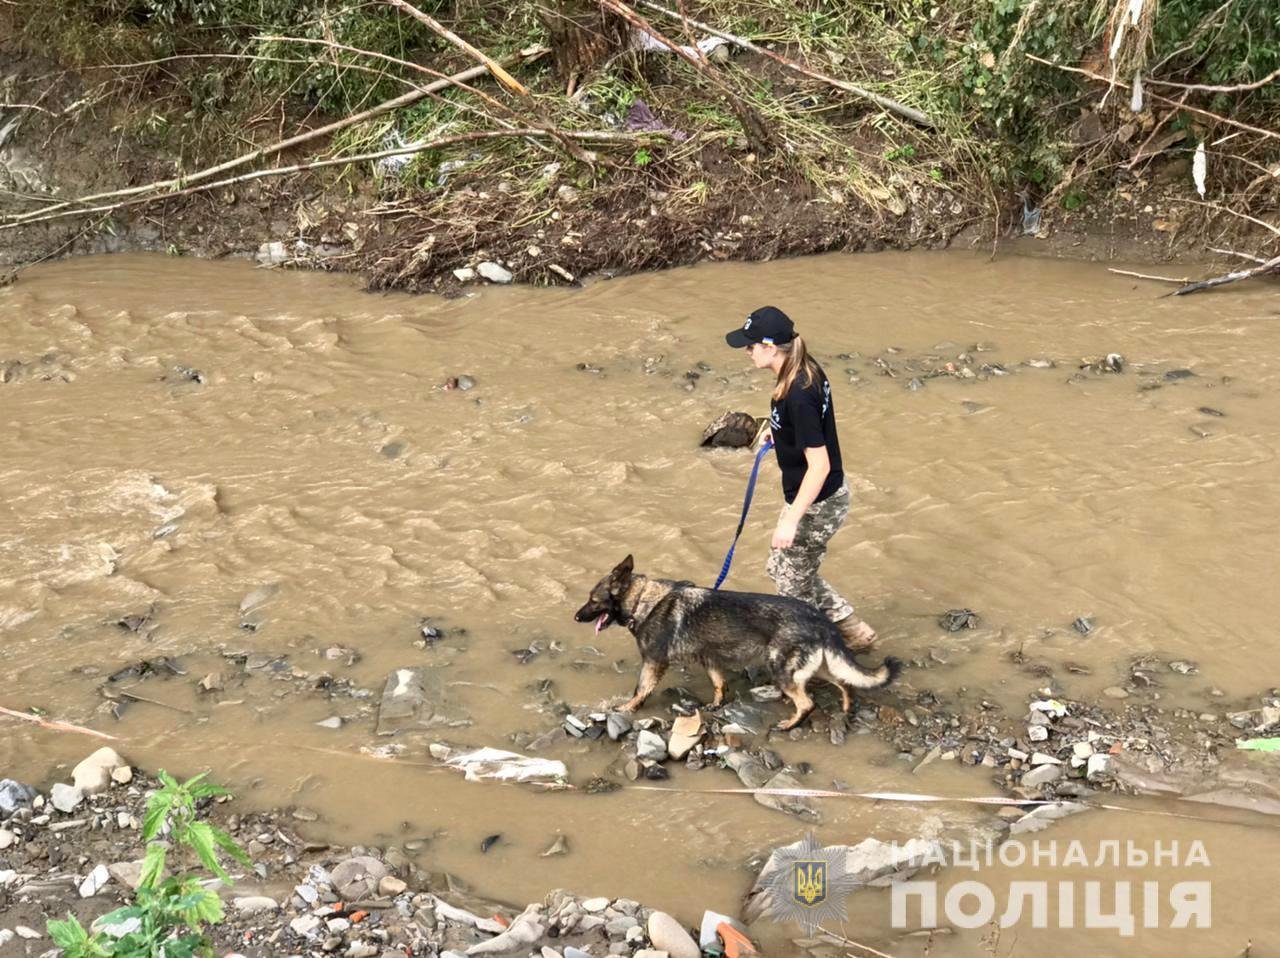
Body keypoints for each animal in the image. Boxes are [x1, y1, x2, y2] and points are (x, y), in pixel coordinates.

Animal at [570, 553, 901, 727]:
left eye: (593, 600)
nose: (575, 617)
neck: (644, 601)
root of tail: (819, 619)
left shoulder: (653, 662)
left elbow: (640, 688)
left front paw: (628, 708)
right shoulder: (710, 660)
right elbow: (719, 684)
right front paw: (716, 705)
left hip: (782, 669)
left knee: (807, 702)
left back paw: (790, 723)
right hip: (813, 667)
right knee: (843, 682)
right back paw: (844, 708)